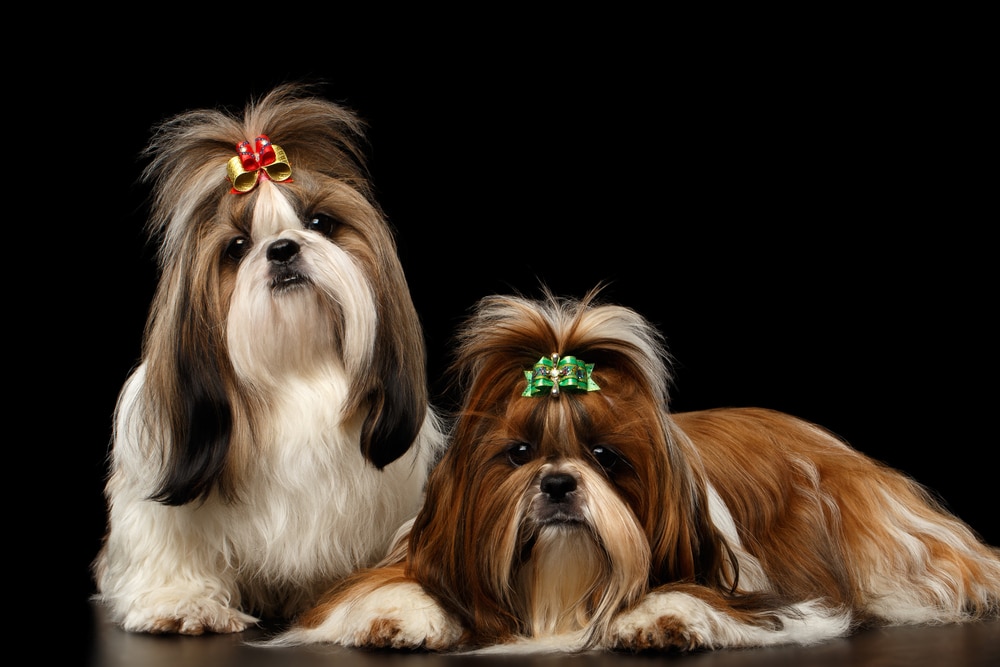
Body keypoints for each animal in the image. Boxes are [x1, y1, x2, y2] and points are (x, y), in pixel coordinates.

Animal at [94, 83, 446, 636]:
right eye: (237, 248)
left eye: (320, 223)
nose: (281, 249)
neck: (295, 368)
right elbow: (168, 543)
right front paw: (181, 601)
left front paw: (392, 606)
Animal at [272, 286, 1000, 652]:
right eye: (519, 454)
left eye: (605, 457)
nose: (558, 482)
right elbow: (384, 587)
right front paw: (398, 616)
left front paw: (660, 615)